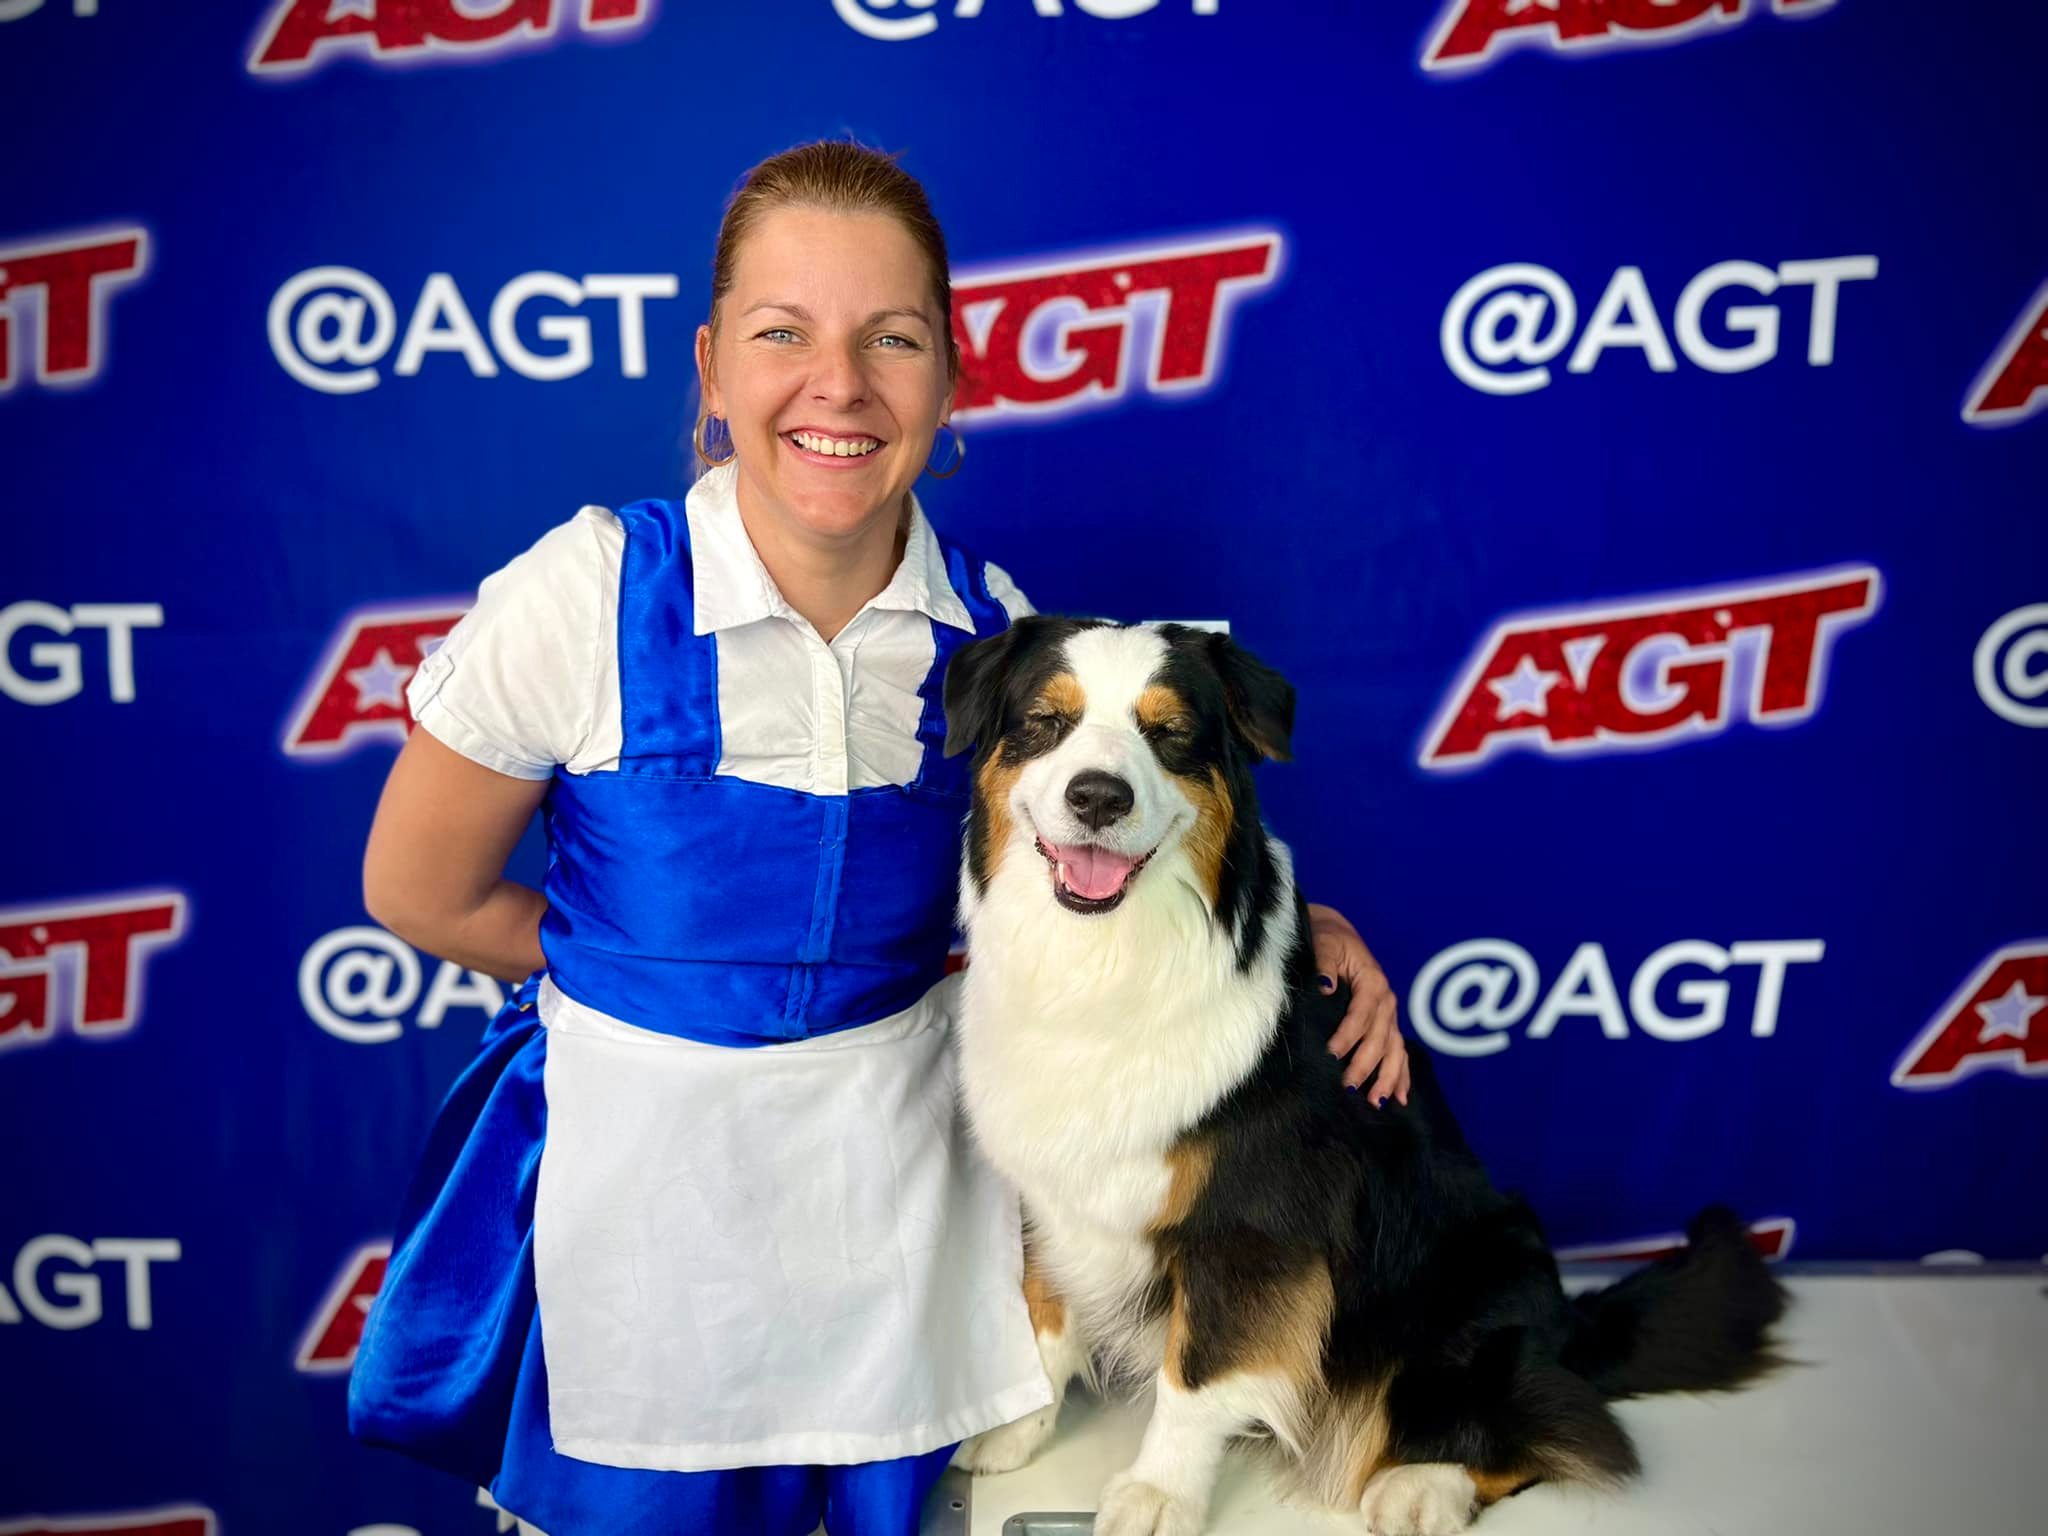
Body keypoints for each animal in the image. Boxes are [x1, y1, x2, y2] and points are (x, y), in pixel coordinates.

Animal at [941, 617, 1787, 1536]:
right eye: (1045, 722)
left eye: (1169, 735)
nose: (1099, 797)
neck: (1105, 962)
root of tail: (1573, 1321)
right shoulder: (1050, 1183)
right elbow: (1043, 1314)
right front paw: (1019, 1427)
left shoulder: (1254, 1219)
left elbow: (1197, 1371)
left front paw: (1161, 1493)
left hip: (1477, 1283)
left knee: (1549, 1425)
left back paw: (1424, 1484)